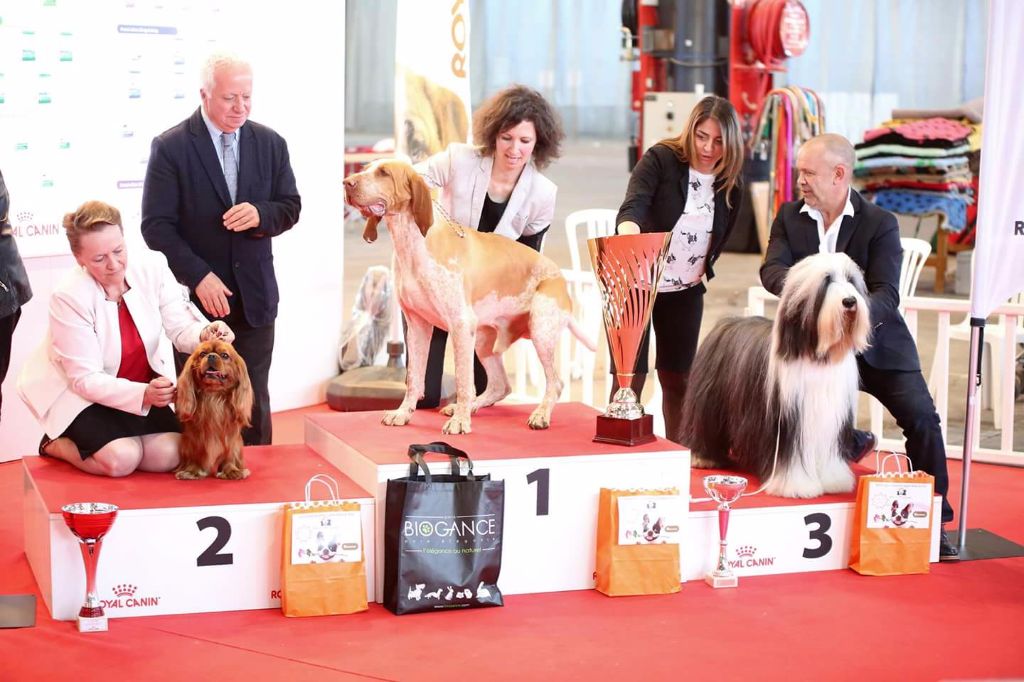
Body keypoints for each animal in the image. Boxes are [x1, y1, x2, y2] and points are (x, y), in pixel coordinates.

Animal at [174, 339, 254, 480]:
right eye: (202, 354)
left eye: (225, 355)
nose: (211, 356)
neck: (213, 396)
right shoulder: (194, 437)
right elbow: (194, 454)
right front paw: (192, 470)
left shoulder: (231, 437)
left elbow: (229, 454)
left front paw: (231, 470)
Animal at [344, 159, 595, 434]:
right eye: (366, 168)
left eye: (384, 173)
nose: (346, 182)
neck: (413, 243)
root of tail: (558, 276)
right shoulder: (418, 325)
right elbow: (414, 379)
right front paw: (404, 413)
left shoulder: (460, 325)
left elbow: (464, 382)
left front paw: (460, 422)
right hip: (484, 341)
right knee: (500, 385)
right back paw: (470, 406)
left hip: (540, 331)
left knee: (555, 383)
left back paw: (539, 414)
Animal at [681, 252, 872, 498]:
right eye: (827, 280)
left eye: (850, 279)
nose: (849, 301)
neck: (817, 355)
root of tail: (726, 321)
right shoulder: (789, 421)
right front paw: (797, 485)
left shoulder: (829, 421)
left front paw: (833, 480)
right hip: (709, 403)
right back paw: (703, 457)